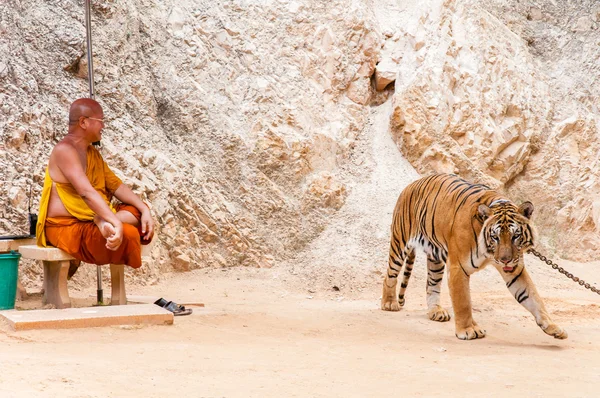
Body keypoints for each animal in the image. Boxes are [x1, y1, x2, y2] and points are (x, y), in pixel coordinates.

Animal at [380, 173, 568, 340]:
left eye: (515, 236)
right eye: (495, 237)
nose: (505, 260)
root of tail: (412, 184)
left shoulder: (515, 270)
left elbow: (533, 297)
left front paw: (553, 327)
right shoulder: (458, 267)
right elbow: (463, 302)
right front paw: (468, 330)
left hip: (435, 257)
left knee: (431, 284)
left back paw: (436, 311)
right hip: (400, 242)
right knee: (390, 275)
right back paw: (389, 303)